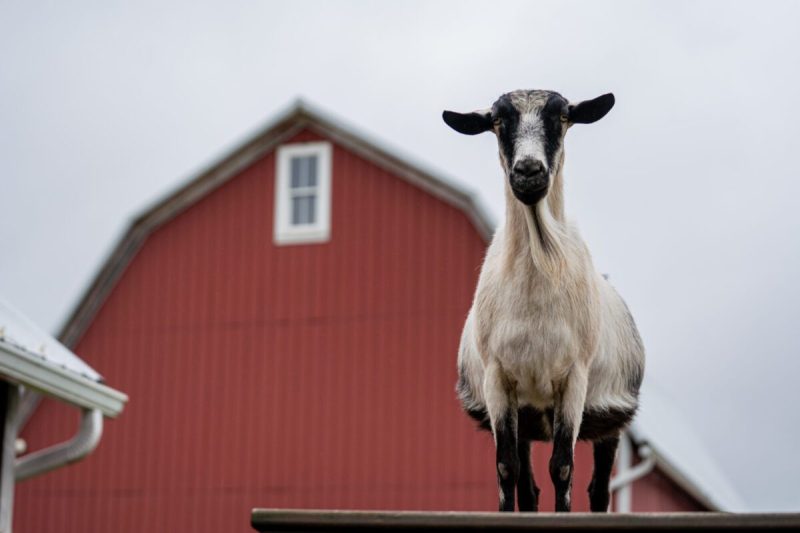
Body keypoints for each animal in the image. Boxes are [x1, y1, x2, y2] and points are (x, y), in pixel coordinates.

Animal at [442, 90, 644, 513]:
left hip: (609, 417)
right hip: (527, 412)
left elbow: (563, 467)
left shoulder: (574, 378)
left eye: (563, 117)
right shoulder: (498, 378)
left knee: (598, 490)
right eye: (497, 121)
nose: (529, 171)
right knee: (527, 484)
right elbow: (506, 468)